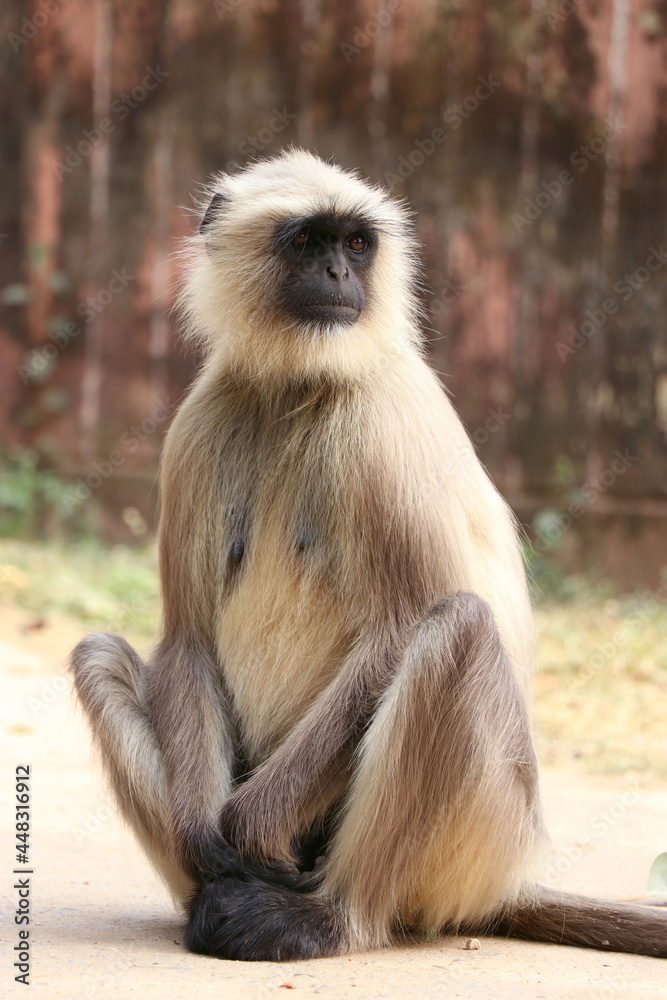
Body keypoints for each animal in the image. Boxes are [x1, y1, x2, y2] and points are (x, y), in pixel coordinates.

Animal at [70, 149, 667, 962]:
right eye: (307, 242)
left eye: (356, 245)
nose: (337, 275)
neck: (301, 387)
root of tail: (509, 878)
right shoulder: (198, 422)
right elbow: (187, 641)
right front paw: (202, 836)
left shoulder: (382, 418)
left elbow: (399, 627)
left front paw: (247, 828)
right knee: (98, 653)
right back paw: (212, 899)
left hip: (482, 835)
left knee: (456, 630)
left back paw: (327, 917)